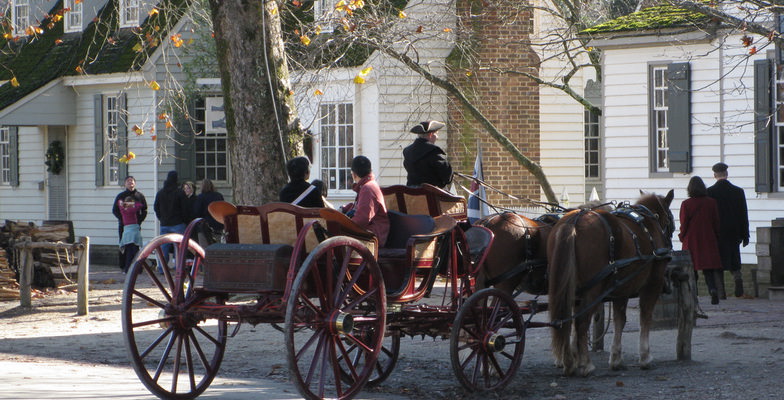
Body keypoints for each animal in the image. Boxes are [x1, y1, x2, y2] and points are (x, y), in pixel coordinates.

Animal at [544, 190, 672, 376]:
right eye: (670, 218)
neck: (648, 226)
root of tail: (574, 221)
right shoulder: (652, 285)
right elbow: (644, 317)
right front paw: (645, 357)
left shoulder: (622, 288)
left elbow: (620, 320)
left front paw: (616, 359)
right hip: (593, 289)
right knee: (581, 321)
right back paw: (586, 365)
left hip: (570, 288)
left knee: (567, 321)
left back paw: (569, 362)